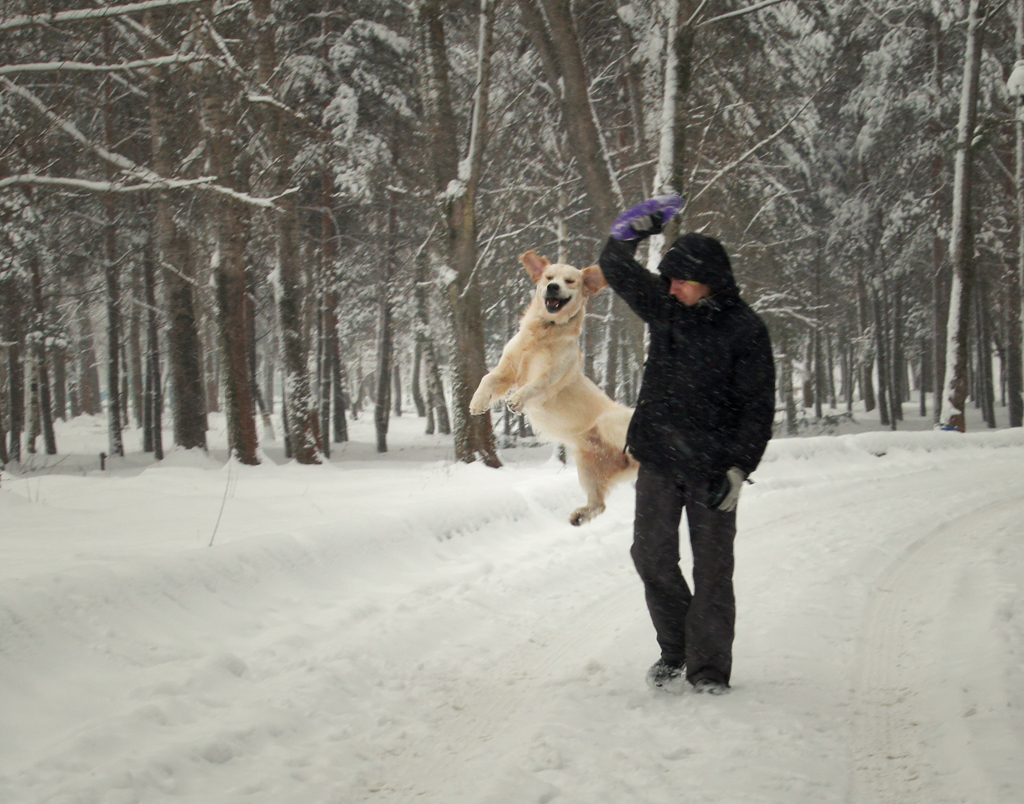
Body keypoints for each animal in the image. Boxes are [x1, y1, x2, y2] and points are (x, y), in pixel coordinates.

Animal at [468, 250, 630, 528]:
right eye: (549, 277)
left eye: (570, 281)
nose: (553, 287)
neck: (545, 331)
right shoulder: (507, 369)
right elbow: (487, 379)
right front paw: (478, 402)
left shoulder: (551, 376)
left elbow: (535, 384)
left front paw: (516, 400)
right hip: (587, 467)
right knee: (599, 504)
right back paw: (579, 516)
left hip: (610, 421)